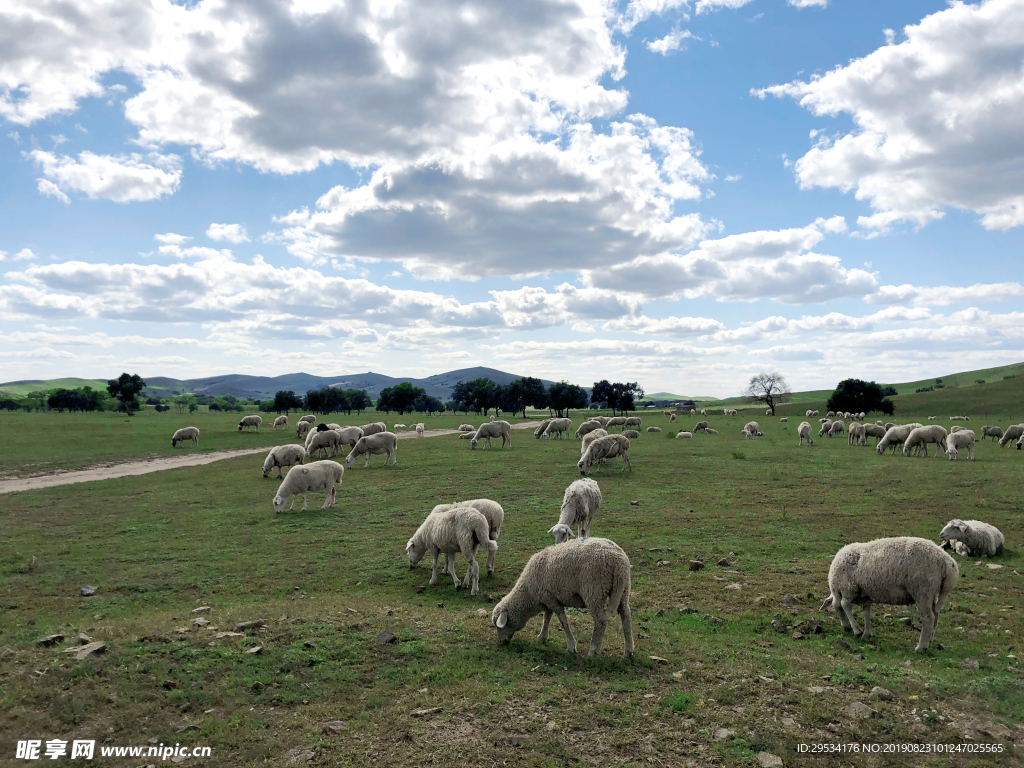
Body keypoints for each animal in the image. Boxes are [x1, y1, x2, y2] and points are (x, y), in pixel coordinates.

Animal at [489, 536, 630, 659]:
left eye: (499, 626)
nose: (502, 642)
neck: (528, 594)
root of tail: (618, 560)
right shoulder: (548, 597)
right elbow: (547, 617)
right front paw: (542, 637)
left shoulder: (552, 600)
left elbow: (563, 621)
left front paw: (571, 646)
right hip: (623, 589)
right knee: (626, 616)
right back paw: (629, 652)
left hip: (594, 591)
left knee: (601, 620)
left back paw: (593, 652)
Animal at [815, 536, 958, 655]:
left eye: (836, 611)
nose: (846, 629)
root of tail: (947, 562)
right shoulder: (865, 594)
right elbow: (866, 612)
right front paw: (866, 634)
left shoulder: (848, 588)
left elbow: (844, 605)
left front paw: (856, 630)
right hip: (931, 592)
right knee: (936, 615)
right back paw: (929, 640)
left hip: (922, 590)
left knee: (928, 618)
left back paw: (921, 647)